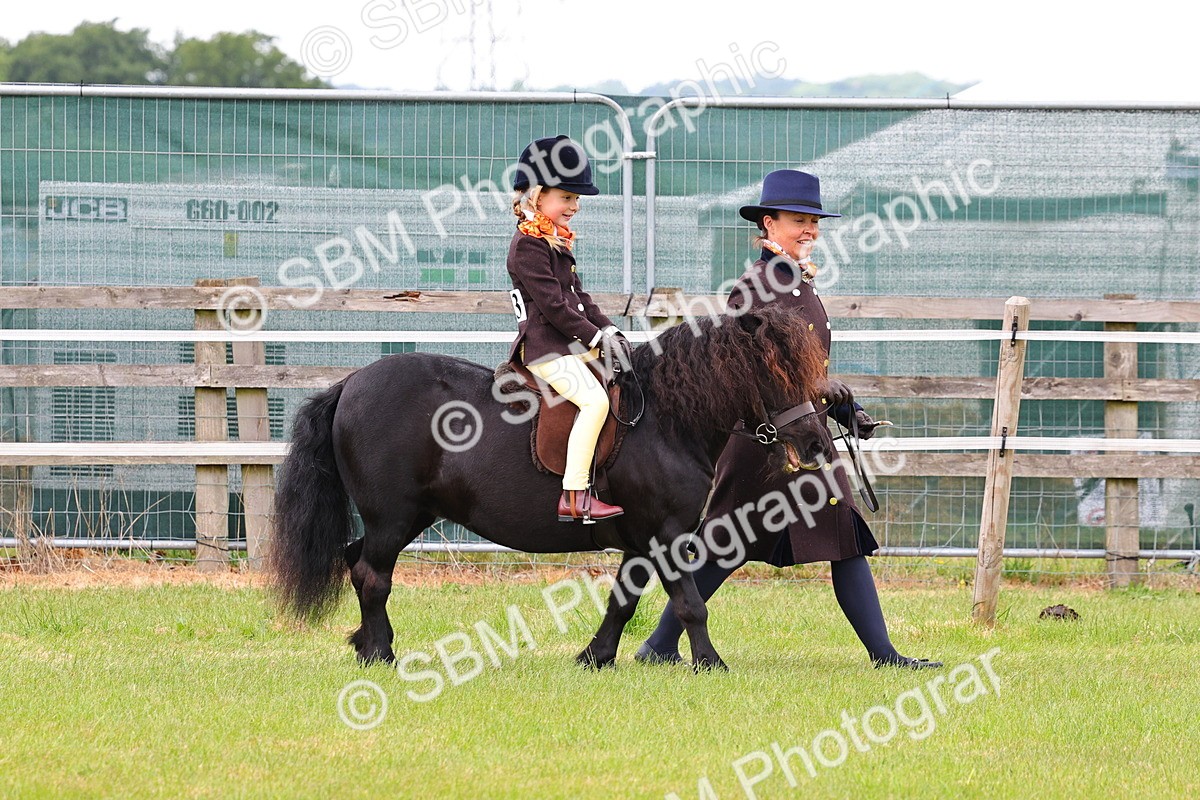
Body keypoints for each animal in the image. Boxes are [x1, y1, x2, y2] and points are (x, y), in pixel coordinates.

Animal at [269, 305, 831, 670]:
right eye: (776, 372)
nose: (817, 444)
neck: (666, 419)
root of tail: (351, 382)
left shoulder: (641, 540)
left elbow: (623, 601)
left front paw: (596, 657)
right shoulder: (666, 535)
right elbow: (691, 603)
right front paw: (711, 663)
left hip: (409, 517)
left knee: (356, 559)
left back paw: (366, 645)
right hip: (393, 517)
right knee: (372, 575)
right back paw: (382, 653)